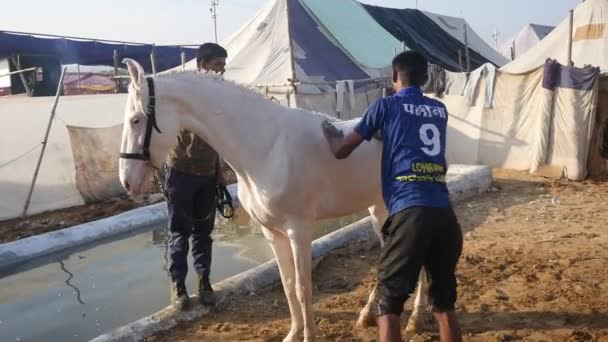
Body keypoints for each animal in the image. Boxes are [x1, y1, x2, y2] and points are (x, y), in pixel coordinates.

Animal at [117, 59, 428, 342]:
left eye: (135, 120)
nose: (127, 181)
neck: (267, 147)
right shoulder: (272, 232)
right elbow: (288, 285)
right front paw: (294, 333)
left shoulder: (299, 230)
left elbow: (303, 288)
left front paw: (309, 336)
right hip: (379, 209)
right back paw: (368, 315)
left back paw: (414, 319)